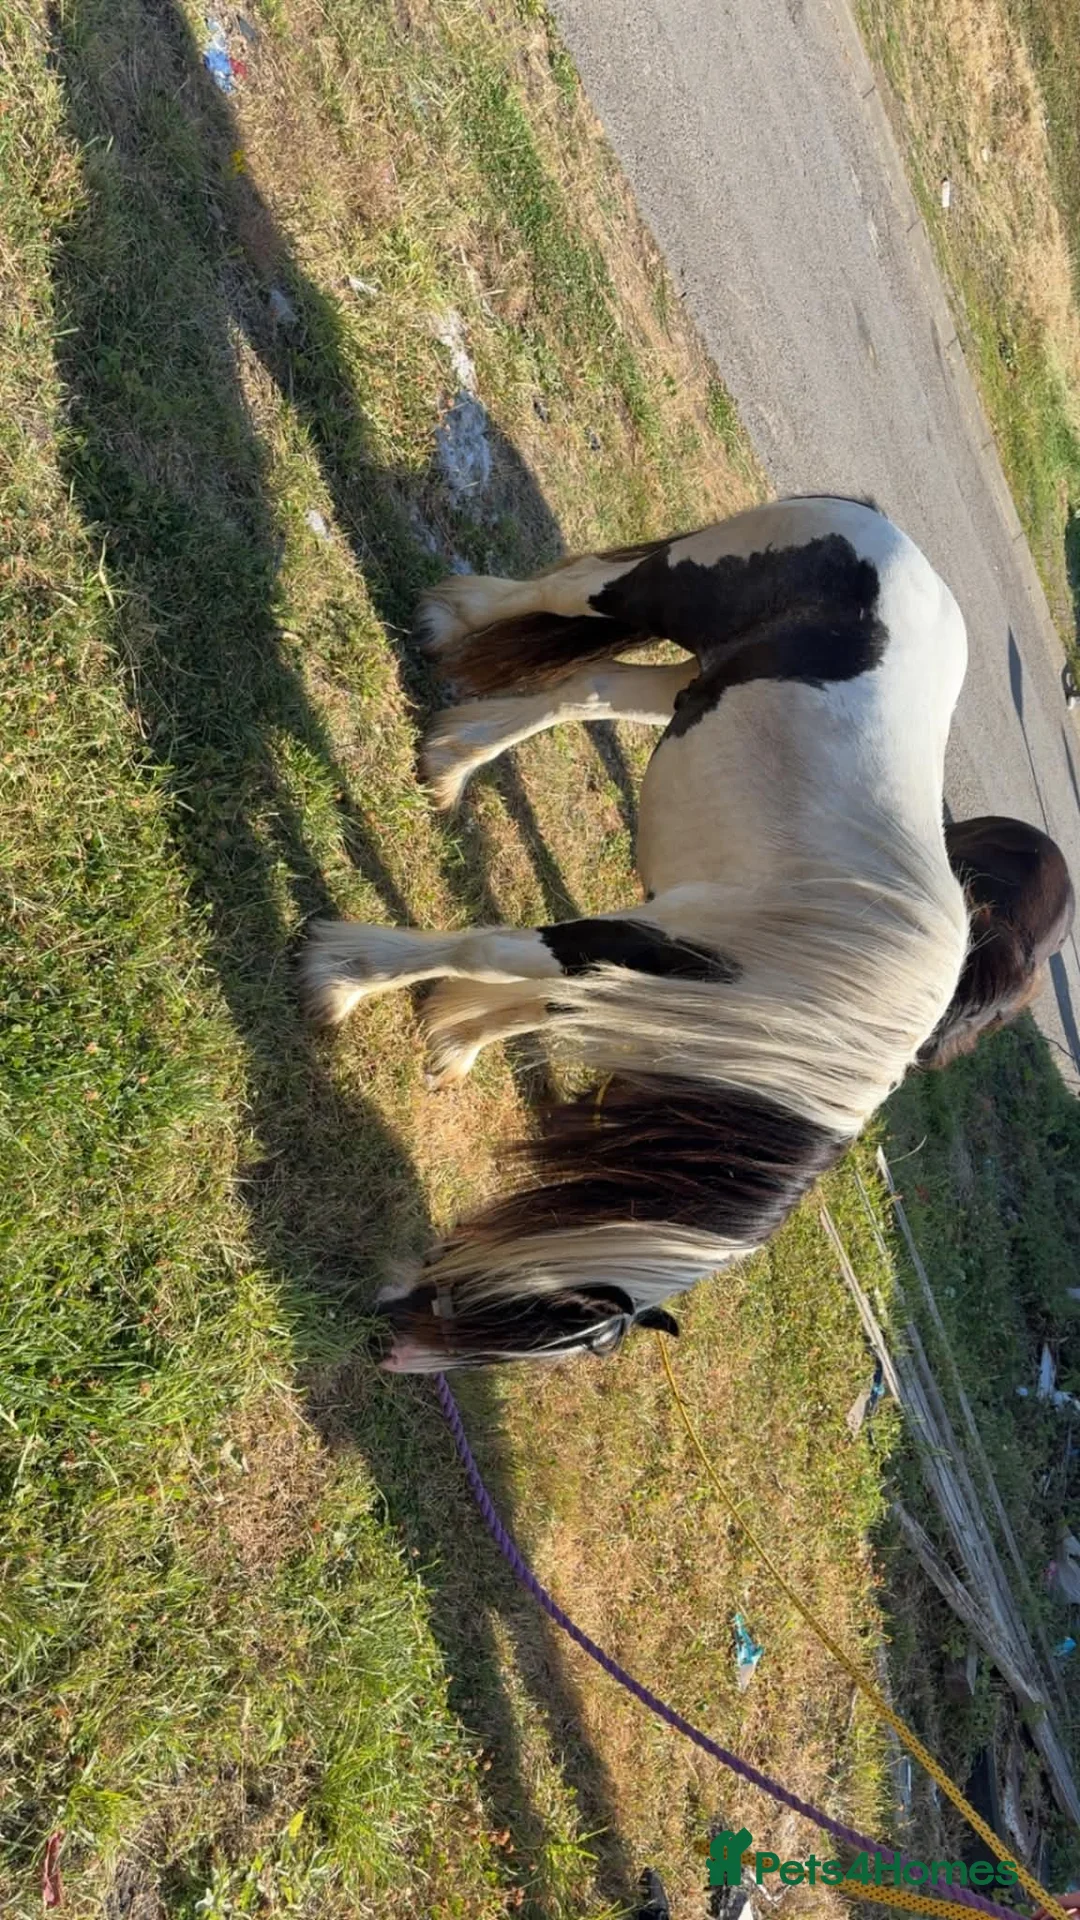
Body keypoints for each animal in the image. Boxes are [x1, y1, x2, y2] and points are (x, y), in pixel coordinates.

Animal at [299, 495, 1074, 1371]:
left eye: (528, 1339)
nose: (387, 1348)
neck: (814, 1014)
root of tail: (888, 533)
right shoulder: (638, 945)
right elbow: (493, 954)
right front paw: (341, 977)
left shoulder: (649, 969)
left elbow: (537, 999)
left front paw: (450, 1035)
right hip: (655, 594)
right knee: (573, 590)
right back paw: (451, 619)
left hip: (691, 685)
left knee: (593, 687)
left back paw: (451, 762)